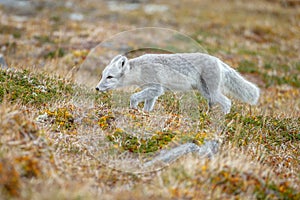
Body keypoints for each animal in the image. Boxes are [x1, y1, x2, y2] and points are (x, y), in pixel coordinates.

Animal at [95, 52, 258, 113]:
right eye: (102, 75)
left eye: (110, 77)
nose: (96, 88)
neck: (139, 70)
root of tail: (218, 60)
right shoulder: (153, 92)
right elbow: (148, 105)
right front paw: (145, 114)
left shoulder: (156, 88)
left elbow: (133, 97)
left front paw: (133, 108)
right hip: (205, 92)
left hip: (212, 92)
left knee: (227, 102)